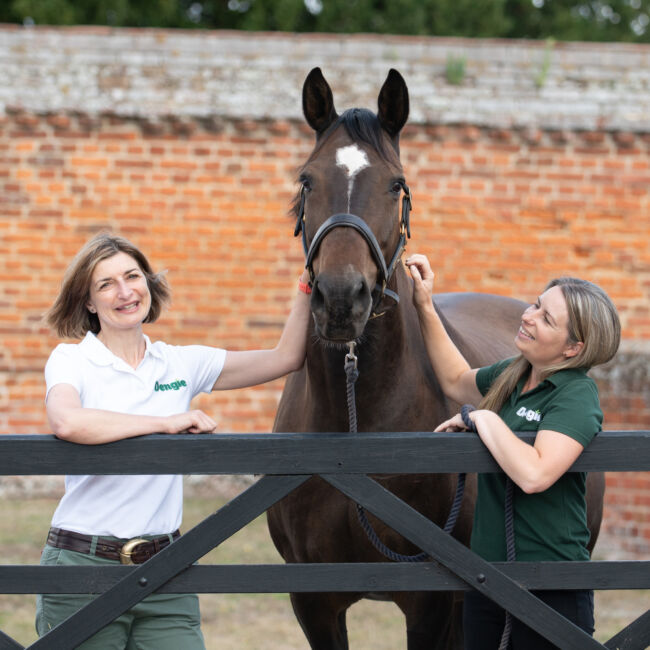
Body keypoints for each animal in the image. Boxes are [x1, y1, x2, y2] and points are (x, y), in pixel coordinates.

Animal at [267, 67, 604, 650]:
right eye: (307, 181)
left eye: (396, 185)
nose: (341, 299)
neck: (356, 431)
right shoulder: (313, 601)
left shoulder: (430, 599)